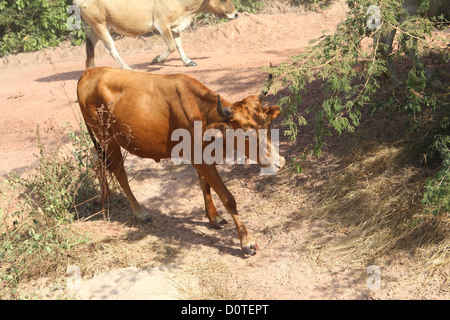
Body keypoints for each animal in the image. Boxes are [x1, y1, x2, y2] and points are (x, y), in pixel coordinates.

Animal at [75, 0, 237, 69]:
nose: (235, 14)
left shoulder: (174, 26)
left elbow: (179, 44)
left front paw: (188, 61)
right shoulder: (162, 24)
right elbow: (171, 46)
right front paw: (157, 59)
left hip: (98, 27)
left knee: (90, 46)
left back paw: (92, 69)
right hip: (100, 26)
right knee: (110, 49)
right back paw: (127, 68)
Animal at [75, 67, 284, 255]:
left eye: (268, 125)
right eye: (246, 134)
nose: (279, 162)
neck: (200, 111)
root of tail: (89, 72)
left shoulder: (202, 155)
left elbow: (205, 185)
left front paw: (214, 218)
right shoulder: (198, 157)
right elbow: (228, 198)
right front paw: (246, 242)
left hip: (101, 140)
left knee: (98, 161)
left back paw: (104, 197)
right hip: (107, 137)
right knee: (119, 171)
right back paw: (139, 212)